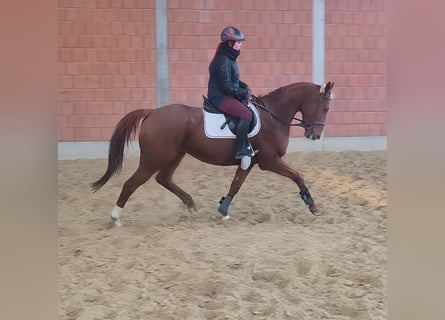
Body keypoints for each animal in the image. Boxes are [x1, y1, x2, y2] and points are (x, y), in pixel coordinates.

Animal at [91, 80, 332, 225]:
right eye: (326, 108)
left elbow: (236, 184)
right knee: (131, 184)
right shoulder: (269, 161)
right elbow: (297, 175)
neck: (272, 117)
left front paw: (223, 209)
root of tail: (152, 112)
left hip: (174, 156)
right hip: (153, 159)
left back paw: (190, 203)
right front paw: (313, 205)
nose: (315, 135)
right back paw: (115, 217)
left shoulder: (250, 161)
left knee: (164, 179)